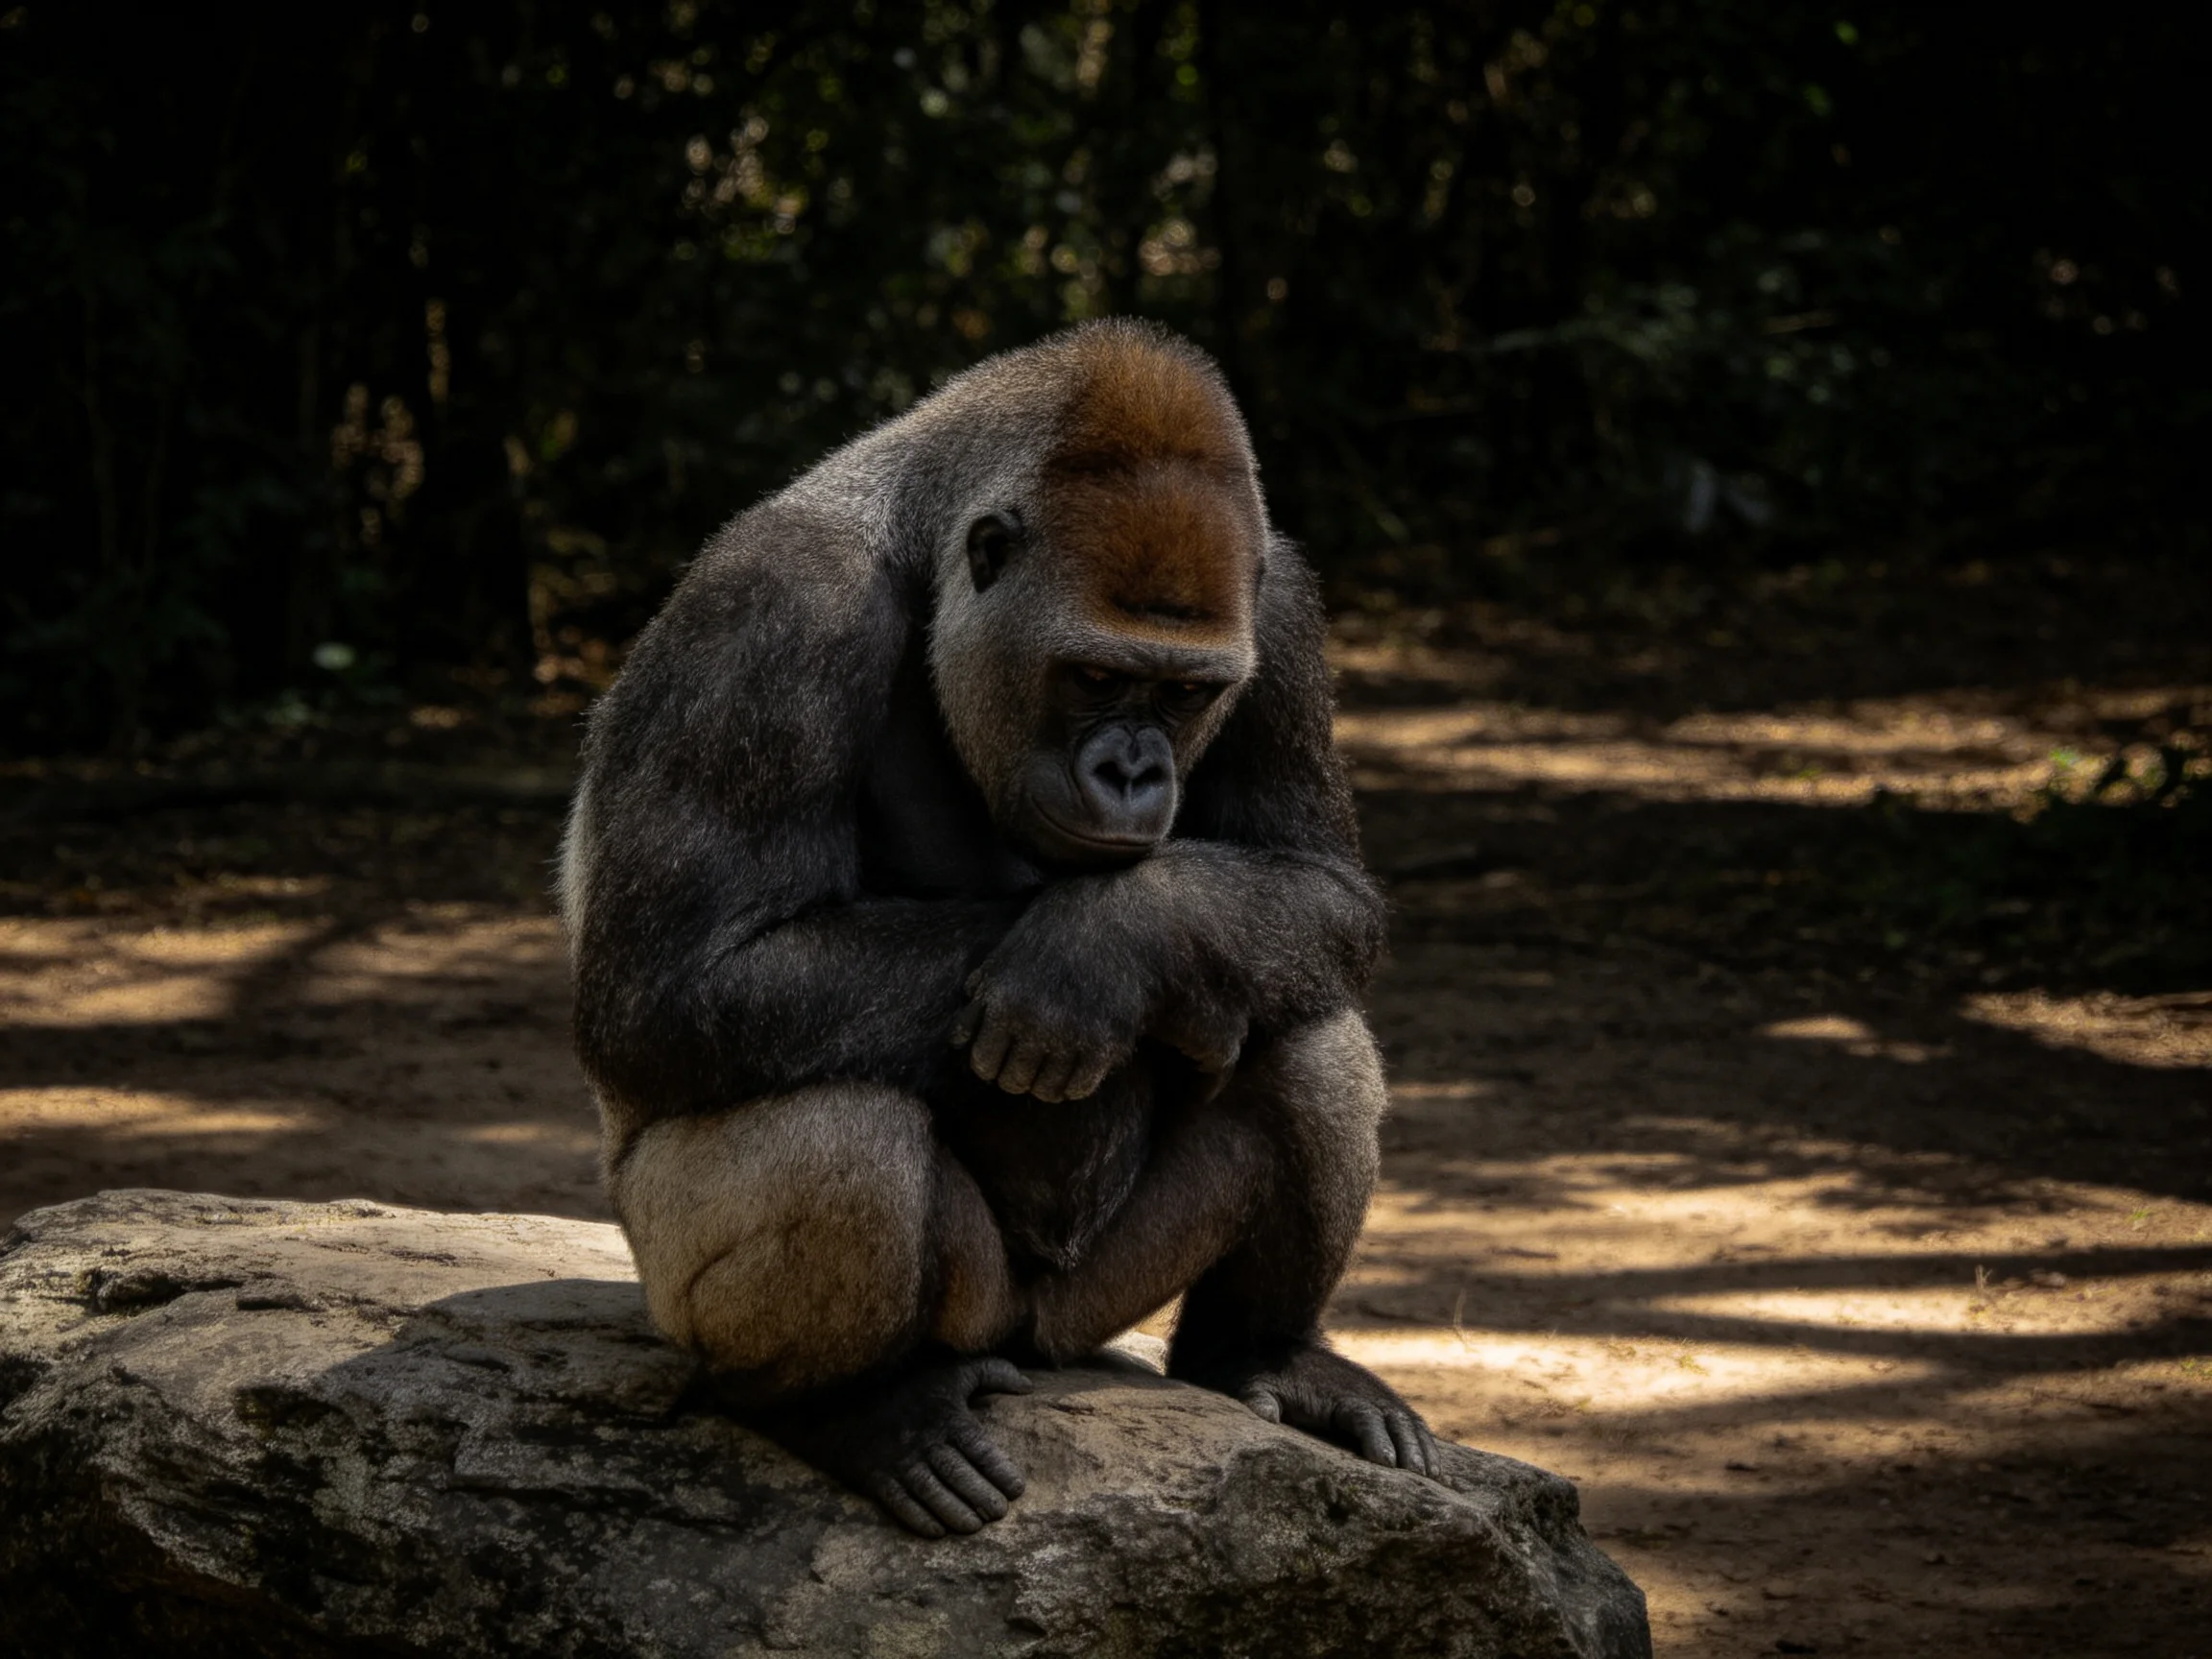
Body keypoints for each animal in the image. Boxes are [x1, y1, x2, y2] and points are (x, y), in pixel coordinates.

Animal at [559, 318, 1438, 1538]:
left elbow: (1322, 892)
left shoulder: (1285, 610)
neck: (926, 543)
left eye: (1182, 695)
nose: (1132, 773)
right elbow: (676, 989)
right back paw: (851, 1407)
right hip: (889, 1304)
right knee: (838, 1137)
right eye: (1097, 676)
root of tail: (1032, 1337)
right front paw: (1085, 966)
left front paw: (1110, 944)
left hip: (1092, 1308)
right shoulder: (772, 610)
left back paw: (1259, 1353)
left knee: (1311, 1037)